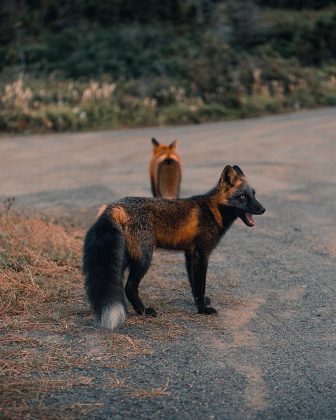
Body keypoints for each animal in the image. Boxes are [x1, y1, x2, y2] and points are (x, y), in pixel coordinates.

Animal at [83, 164, 266, 332]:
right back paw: (143, 311)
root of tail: (117, 205)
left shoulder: (190, 254)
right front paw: (203, 310)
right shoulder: (202, 254)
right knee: (130, 287)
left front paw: (199, 303)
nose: (263, 209)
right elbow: (200, 284)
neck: (213, 211)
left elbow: (194, 284)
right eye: (243, 196)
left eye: (254, 195)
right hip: (144, 259)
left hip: (127, 258)